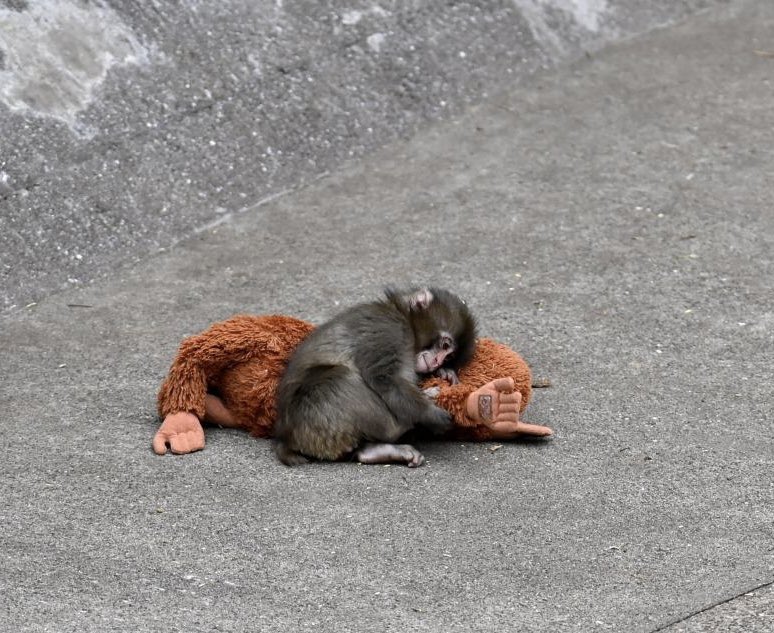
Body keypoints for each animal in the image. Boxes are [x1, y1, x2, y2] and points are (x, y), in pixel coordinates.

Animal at [273, 287, 476, 467]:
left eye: (449, 356)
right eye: (444, 345)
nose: (436, 362)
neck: (402, 316)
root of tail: (287, 437)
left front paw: (445, 373)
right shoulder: (389, 329)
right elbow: (383, 377)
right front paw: (430, 414)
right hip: (314, 417)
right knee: (340, 378)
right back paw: (403, 424)